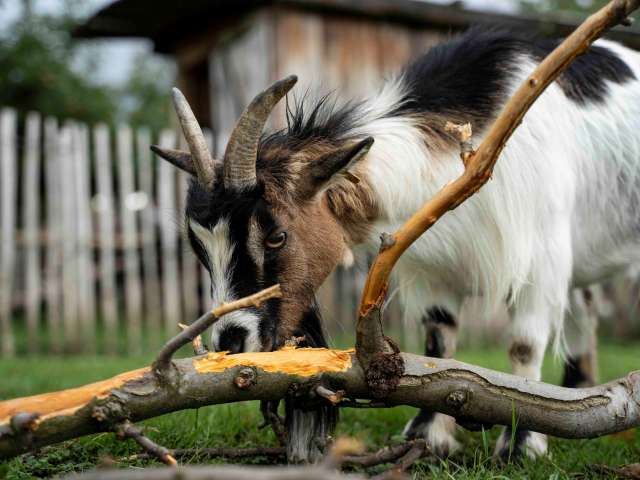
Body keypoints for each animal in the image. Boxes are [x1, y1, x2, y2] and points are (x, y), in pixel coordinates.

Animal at [152, 28, 640, 461]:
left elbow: (523, 345)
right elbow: (438, 343)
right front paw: (428, 435)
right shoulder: (433, 273)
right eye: (199, 248)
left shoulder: (539, 259)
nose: (230, 341)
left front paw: (521, 444)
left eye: (275, 235)